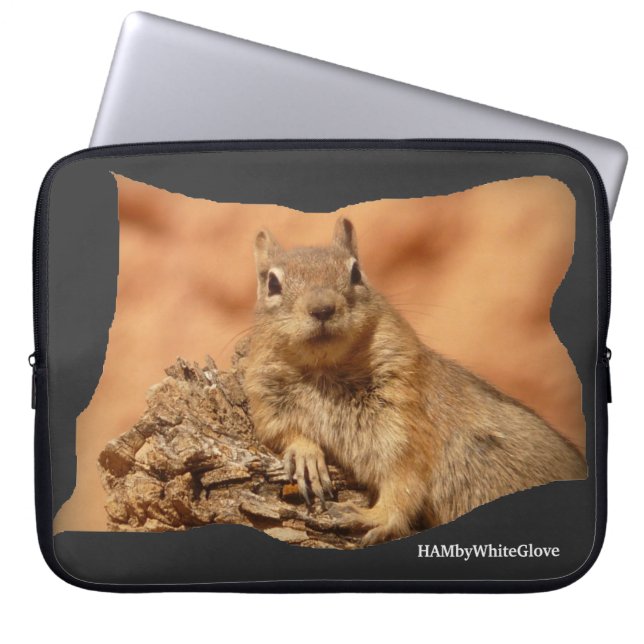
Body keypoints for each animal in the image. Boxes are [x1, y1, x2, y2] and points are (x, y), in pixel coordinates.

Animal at [244, 216, 587, 546]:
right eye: (272, 282)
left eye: (356, 273)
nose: (322, 308)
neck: (325, 370)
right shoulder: (267, 401)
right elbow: (281, 431)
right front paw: (305, 454)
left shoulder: (405, 420)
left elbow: (404, 480)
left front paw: (374, 516)